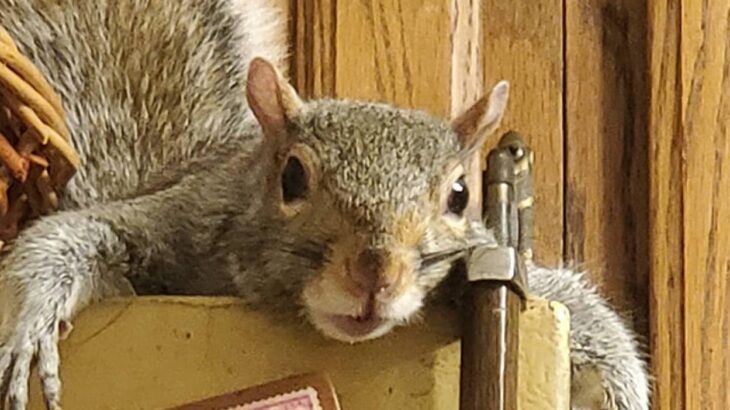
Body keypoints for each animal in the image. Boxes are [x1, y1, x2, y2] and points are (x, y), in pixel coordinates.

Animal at [0, 0, 648, 410]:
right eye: (291, 177)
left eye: (459, 195)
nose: (374, 275)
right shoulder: (184, 220)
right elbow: (76, 235)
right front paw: (32, 324)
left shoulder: (497, 257)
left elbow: (573, 305)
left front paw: (620, 391)